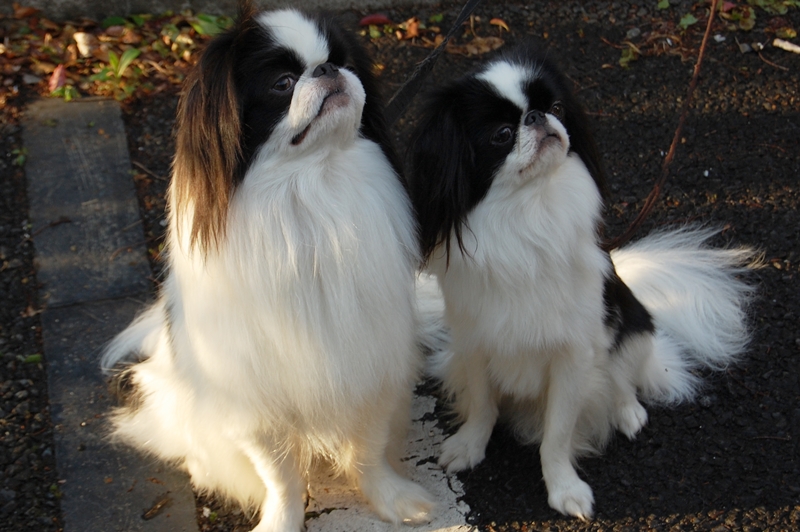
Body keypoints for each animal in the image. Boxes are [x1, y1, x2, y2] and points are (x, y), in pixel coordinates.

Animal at [104, 5, 438, 532]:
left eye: (344, 62)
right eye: (282, 84)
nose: (327, 70)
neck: (313, 186)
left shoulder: (371, 368)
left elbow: (368, 448)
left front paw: (392, 500)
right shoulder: (252, 401)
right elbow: (280, 476)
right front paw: (282, 519)